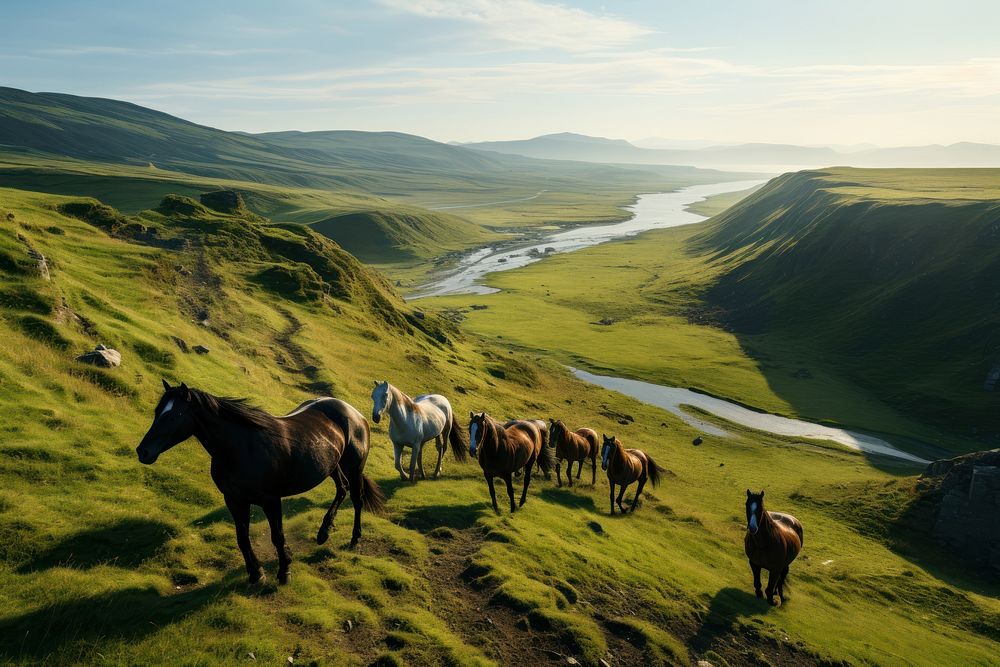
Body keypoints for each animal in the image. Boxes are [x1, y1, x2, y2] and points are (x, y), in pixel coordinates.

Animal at [140, 380, 386, 584]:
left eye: (174, 415)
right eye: (157, 412)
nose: (143, 451)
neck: (241, 448)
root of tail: (355, 413)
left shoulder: (270, 500)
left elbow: (277, 536)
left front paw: (285, 570)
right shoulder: (234, 500)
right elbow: (242, 539)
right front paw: (256, 573)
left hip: (354, 468)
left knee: (356, 499)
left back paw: (354, 539)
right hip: (332, 465)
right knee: (342, 488)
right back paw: (324, 531)